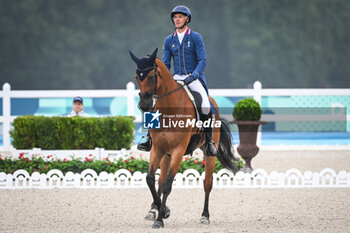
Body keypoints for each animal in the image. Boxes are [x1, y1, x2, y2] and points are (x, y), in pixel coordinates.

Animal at [130, 48, 239, 228]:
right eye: (137, 77)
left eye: (152, 76)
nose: (144, 105)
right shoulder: (158, 149)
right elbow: (151, 179)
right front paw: (161, 211)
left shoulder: (178, 151)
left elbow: (168, 184)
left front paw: (160, 218)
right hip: (165, 154)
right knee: (159, 180)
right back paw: (153, 210)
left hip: (208, 153)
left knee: (207, 183)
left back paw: (205, 216)